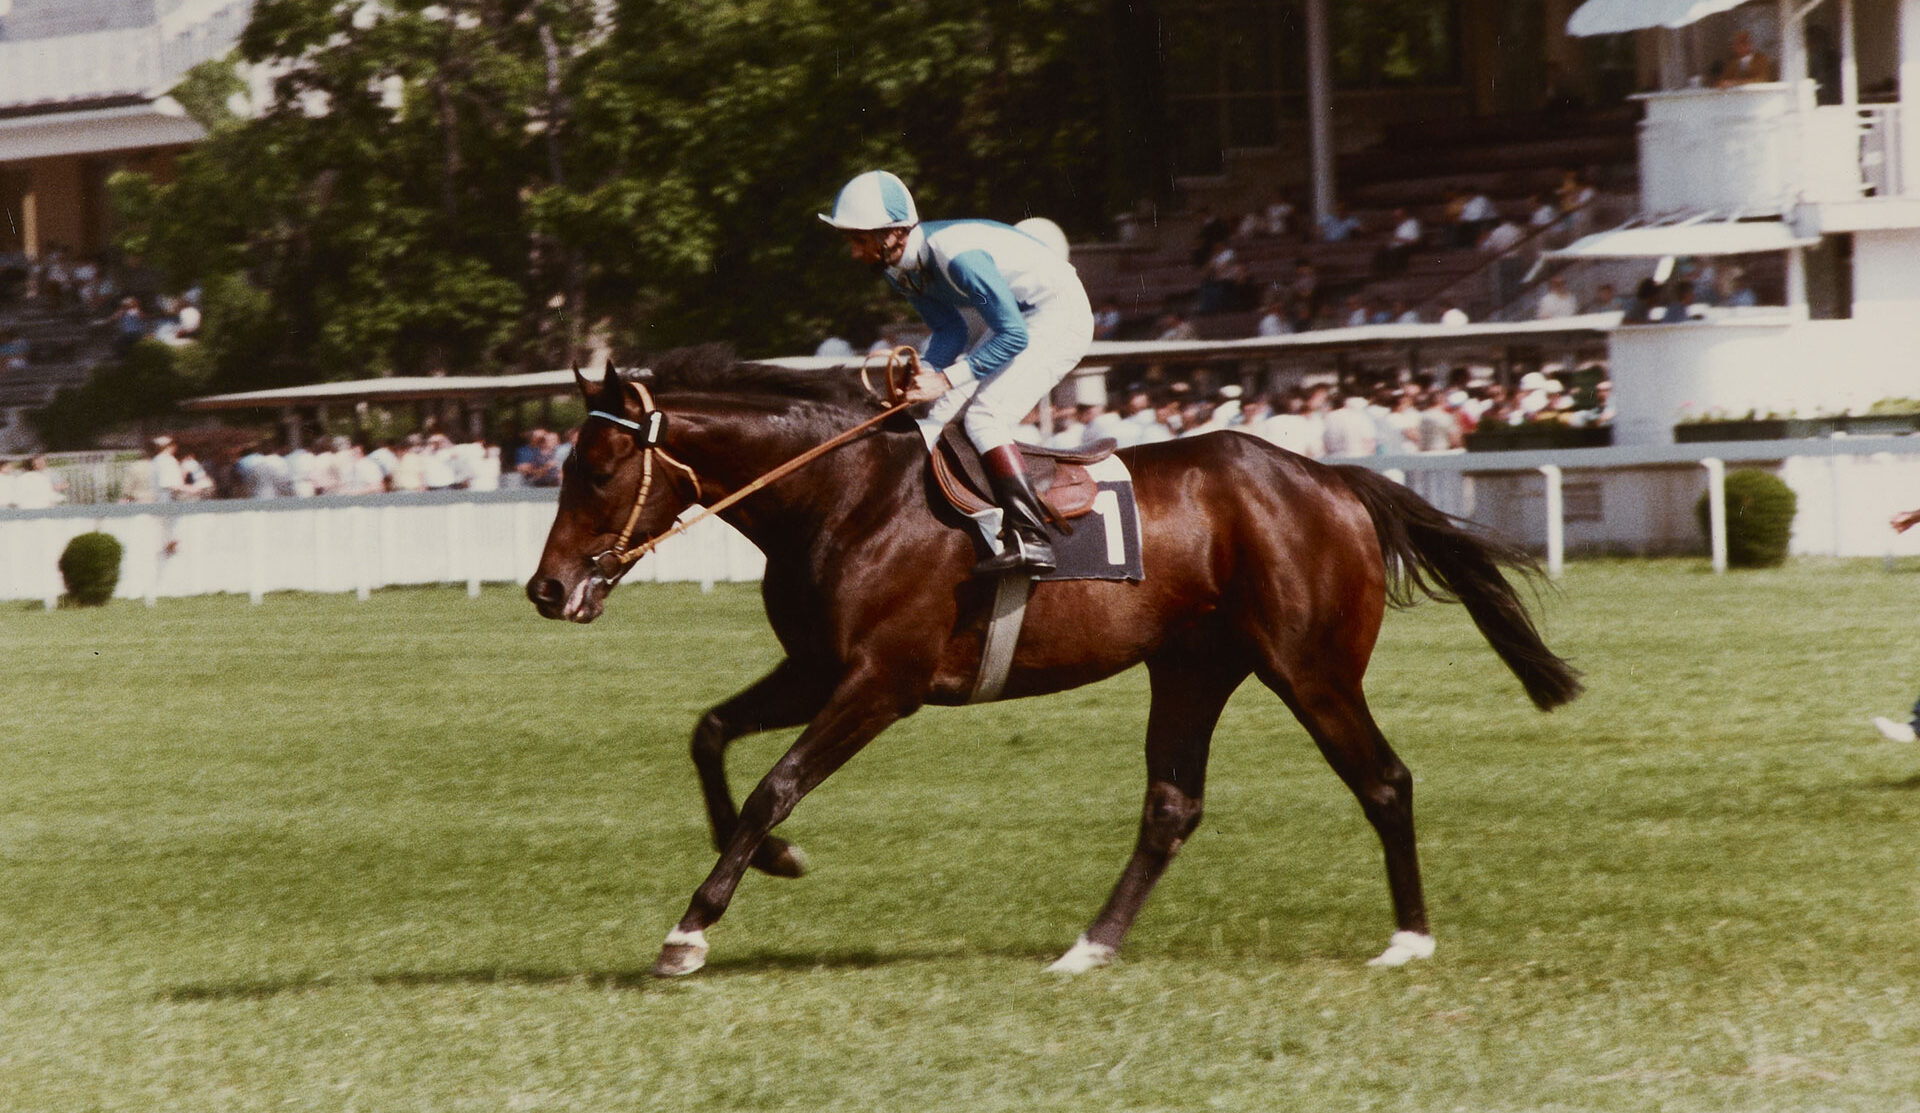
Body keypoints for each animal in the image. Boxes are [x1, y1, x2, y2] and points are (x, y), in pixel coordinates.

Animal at [526, 345, 1574, 974]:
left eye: (599, 469)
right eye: (564, 464)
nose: (546, 588)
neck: (847, 494)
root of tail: (1332, 479)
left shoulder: (880, 683)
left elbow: (774, 784)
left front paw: (690, 929)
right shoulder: (818, 668)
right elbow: (710, 736)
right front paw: (773, 863)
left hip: (1311, 668)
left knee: (1384, 779)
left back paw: (1409, 938)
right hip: (1192, 667)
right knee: (1172, 806)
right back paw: (1090, 944)